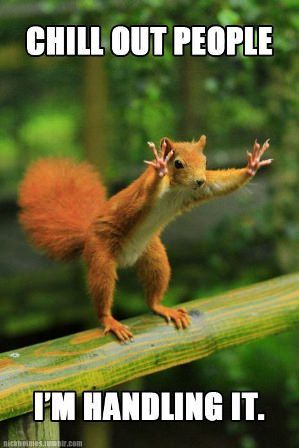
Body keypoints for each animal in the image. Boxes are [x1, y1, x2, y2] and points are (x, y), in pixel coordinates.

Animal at [18, 135, 272, 342]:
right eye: (178, 163)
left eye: (205, 160)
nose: (199, 180)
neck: (177, 189)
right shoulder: (142, 195)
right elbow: (147, 193)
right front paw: (159, 165)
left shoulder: (201, 189)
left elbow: (221, 184)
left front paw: (252, 165)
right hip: (101, 256)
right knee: (102, 290)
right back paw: (109, 320)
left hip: (153, 255)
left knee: (153, 293)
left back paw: (162, 307)